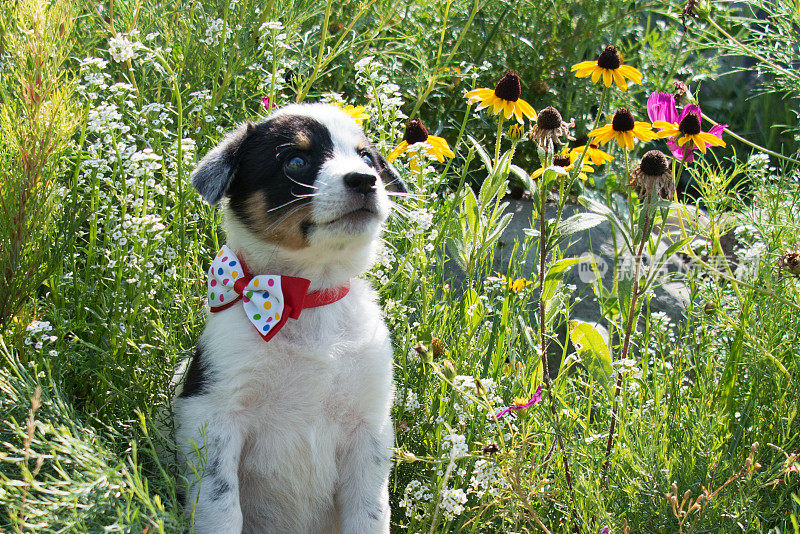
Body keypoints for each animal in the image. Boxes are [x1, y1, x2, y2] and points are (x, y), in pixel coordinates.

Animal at [173, 102, 404, 532]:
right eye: (296, 161)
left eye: (367, 158)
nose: (365, 181)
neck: (306, 301)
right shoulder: (212, 414)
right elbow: (221, 505)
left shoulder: (369, 427)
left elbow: (369, 512)